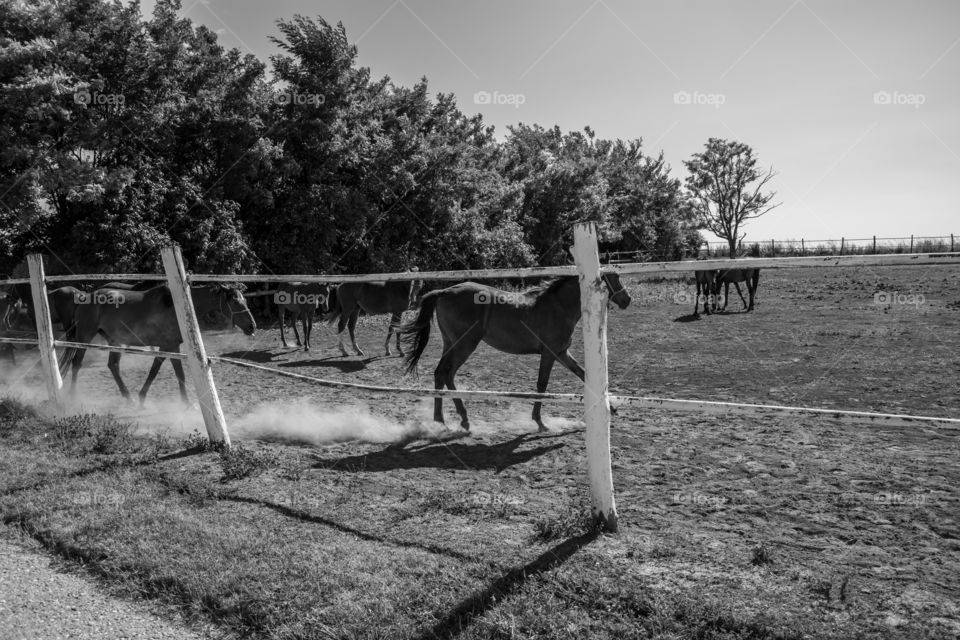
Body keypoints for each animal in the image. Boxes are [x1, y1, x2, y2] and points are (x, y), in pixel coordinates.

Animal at [59, 286, 255, 404]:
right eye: (235, 302)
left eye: (245, 300)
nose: (252, 326)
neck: (176, 308)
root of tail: (86, 297)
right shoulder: (169, 346)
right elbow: (171, 373)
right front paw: (187, 404)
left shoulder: (169, 347)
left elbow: (162, 372)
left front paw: (142, 398)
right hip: (85, 337)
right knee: (76, 364)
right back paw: (73, 397)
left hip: (115, 341)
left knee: (113, 366)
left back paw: (129, 398)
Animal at [400, 272, 632, 432]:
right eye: (614, 277)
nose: (627, 299)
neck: (559, 305)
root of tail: (445, 292)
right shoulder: (549, 354)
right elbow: (542, 385)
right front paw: (539, 422)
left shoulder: (562, 353)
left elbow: (583, 374)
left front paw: (611, 408)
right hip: (465, 345)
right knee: (446, 373)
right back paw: (454, 420)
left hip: (450, 344)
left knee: (441, 374)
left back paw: (447, 420)